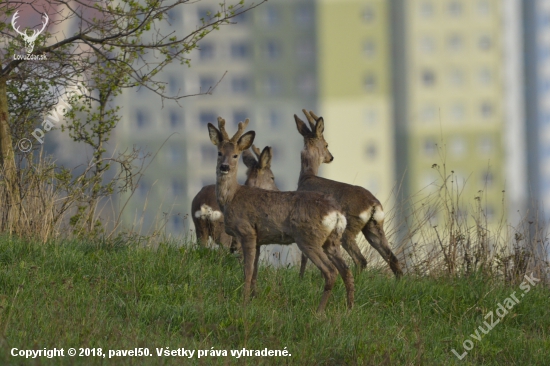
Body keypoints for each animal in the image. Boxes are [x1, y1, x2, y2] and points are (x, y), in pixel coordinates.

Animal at [209, 117, 356, 312]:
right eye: (219, 153)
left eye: (235, 155)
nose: (224, 167)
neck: (231, 198)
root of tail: (337, 213)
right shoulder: (259, 239)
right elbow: (255, 271)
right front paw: (254, 298)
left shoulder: (247, 232)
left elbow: (247, 271)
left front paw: (244, 302)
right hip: (331, 240)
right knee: (346, 270)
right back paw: (349, 308)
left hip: (308, 238)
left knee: (331, 271)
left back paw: (319, 312)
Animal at [296, 110, 404, 278]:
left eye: (327, 144)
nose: (331, 157)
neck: (307, 177)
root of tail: (373, 204)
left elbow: (304, 256)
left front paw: (301, 278)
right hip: (374, 227)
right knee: (391, 257)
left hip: (349, 228)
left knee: (361, 260)